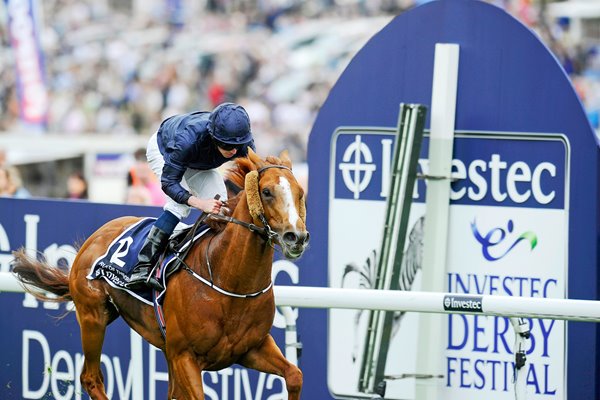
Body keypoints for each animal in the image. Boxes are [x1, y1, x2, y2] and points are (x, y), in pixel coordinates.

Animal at [12, 148, 312, 398]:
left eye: (300, 192)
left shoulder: (251, 348)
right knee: (91, 378)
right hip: (92, 315)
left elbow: (295, 375)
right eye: (267, 192)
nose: (296, 237)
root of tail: (95, 237)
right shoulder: (184, 356)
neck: (230, 283)